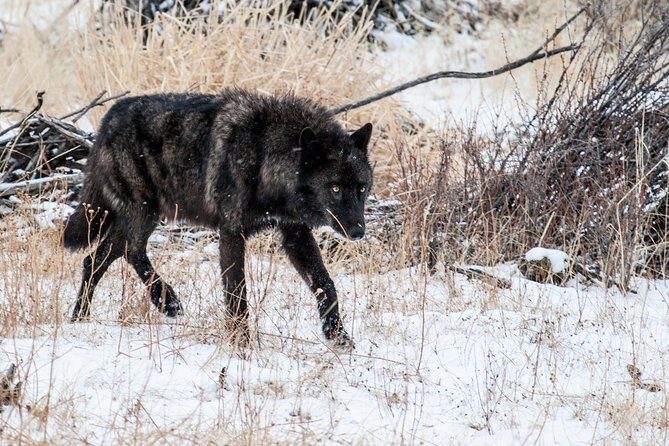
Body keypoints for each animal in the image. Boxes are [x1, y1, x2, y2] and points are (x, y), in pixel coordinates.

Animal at [62, 88, 373, 346]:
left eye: (361, 188)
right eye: (334, 188)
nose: (358, 231)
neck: (264, 156)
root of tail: (108, 117)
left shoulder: (295, 233)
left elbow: (326, 284)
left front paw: (338, 335)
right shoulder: (232, 231)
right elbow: (237, 292)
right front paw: (241, 344)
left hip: (140, 217)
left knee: (97, 259)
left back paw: (82, 318)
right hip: (145, 214)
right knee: (129, 251)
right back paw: (166, 301)